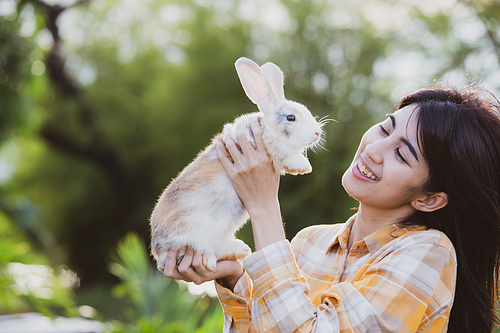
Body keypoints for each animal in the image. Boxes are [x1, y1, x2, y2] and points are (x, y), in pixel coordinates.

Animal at [150, 56, 326, 270]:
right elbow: (286, 155)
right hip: (196, 234)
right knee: (205, 252)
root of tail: (159, 253)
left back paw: (240, 249)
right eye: (291, 117)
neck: (268, 127)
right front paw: (302, 166)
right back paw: (215, 260)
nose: (317, 133)